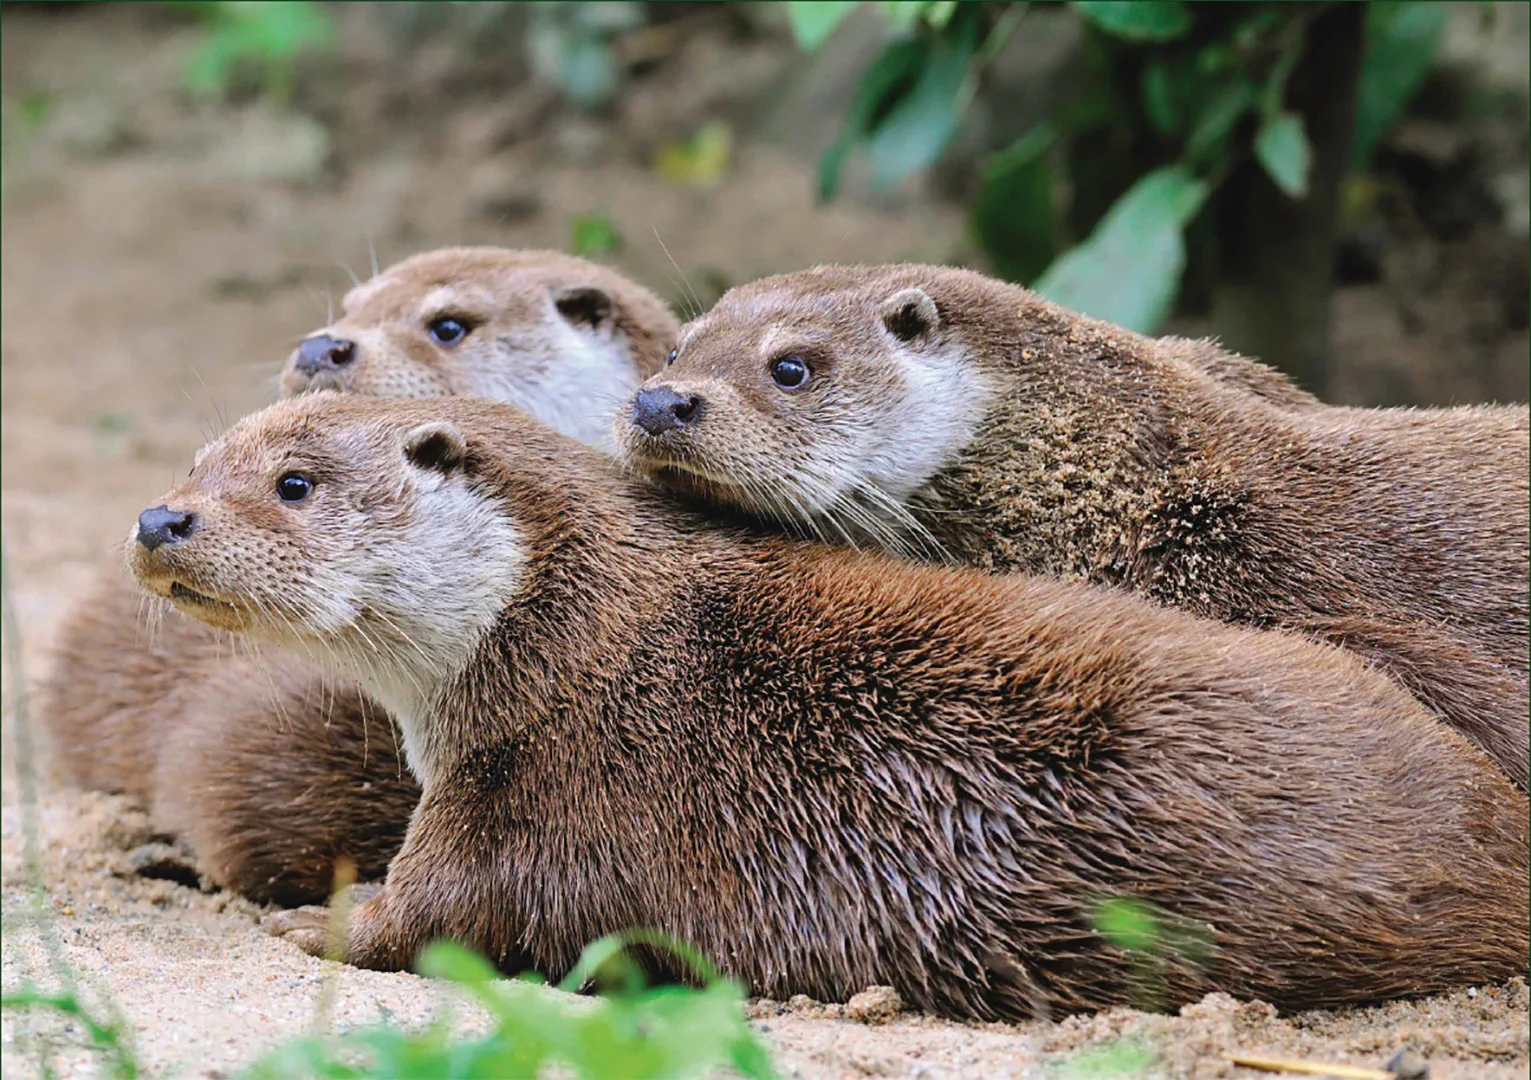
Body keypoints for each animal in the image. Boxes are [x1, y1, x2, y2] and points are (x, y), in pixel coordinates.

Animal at [129, 393, 1528, 1019]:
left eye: (295, 483)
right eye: (195, 461)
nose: (160, 518)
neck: (565, 629)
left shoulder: (535, 792)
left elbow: (428, 920)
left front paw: (311, 920)